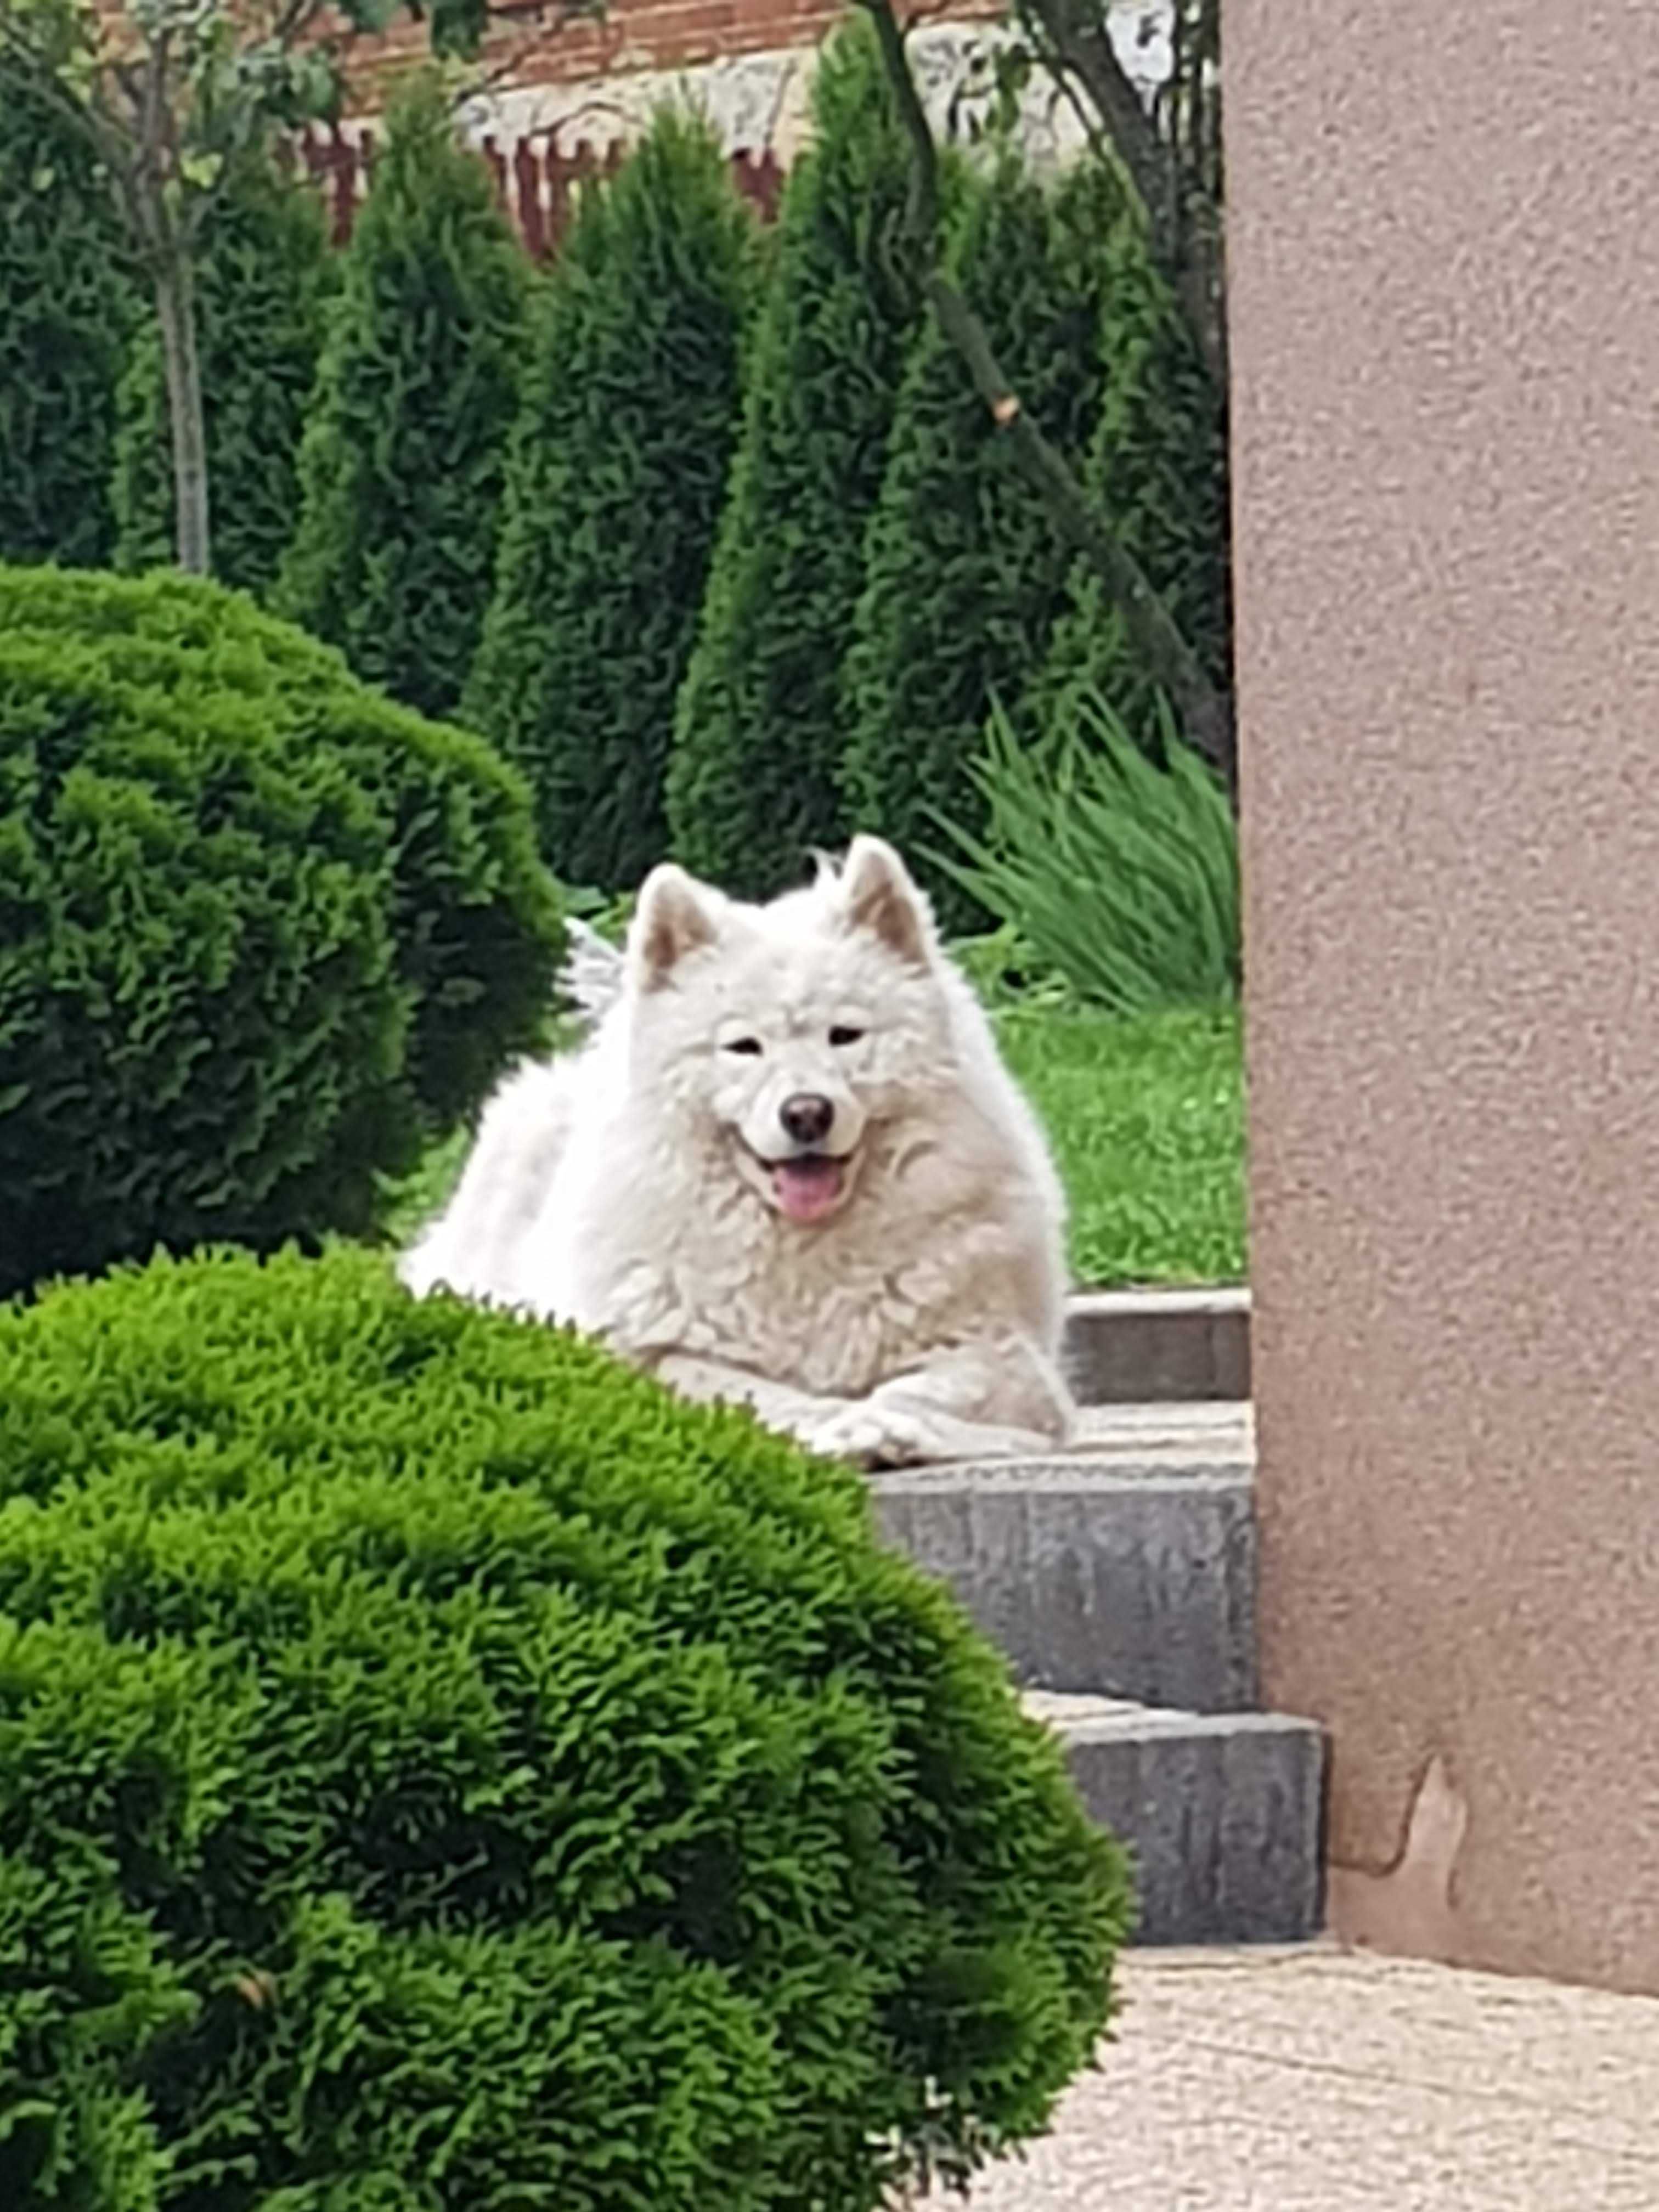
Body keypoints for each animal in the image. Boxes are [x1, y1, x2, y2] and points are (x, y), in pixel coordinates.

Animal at [404, 836, 1079, 1460]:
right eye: (744, 1047)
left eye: (845, 1036)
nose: (806, 1113)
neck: (802, 1256)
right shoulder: (646, 1360)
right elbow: (751, 1391)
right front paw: (835, 1426)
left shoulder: (1004, 1357)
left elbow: (925, 1387)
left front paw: (896, 1426)